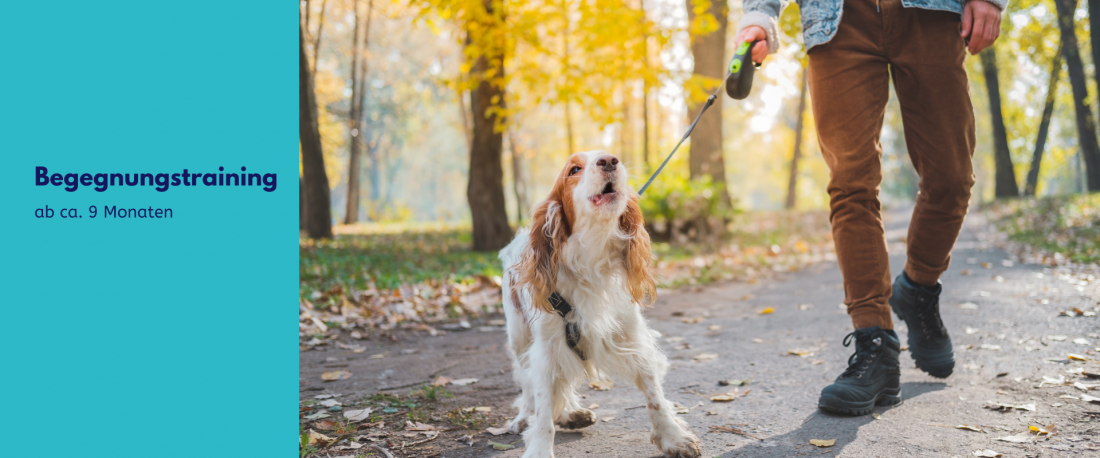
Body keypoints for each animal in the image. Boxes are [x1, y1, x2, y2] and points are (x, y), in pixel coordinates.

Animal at [497, 150, 695, 458]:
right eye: (574, 169)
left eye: (613, 156)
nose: (610, 161)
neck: (592, 257)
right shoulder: (547, 348)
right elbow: (542, 408)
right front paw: (539, 447)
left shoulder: (632, 337)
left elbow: (654, 395)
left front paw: (673, 436)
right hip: (519, 337)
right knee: (528, 386)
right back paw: (526, 417)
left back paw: (572, 413)